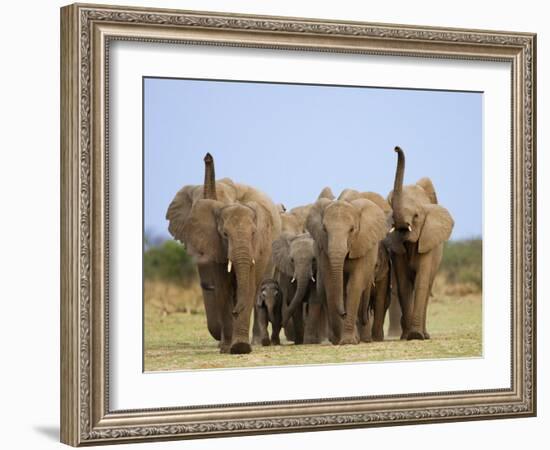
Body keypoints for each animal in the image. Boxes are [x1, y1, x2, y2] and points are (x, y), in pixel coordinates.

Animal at [166, 153, 282, 354]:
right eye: (224, 234)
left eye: (253, 233)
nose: (207, 157)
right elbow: (221, 289)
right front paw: (228, 347)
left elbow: (247, 287)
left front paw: (241, 347)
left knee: (257, 288)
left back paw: (257, 341)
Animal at [306, 193, 388, 344]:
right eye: (324, 230)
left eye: (352, 230)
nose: (343, 313)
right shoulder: (324, 250)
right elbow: (331, 286)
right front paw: (344, 340)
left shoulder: (360, 245)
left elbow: (354, 286)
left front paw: (348, 341)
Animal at [386, 146, 454, 340]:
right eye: (390, 209)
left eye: (416, 216)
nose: (395, 148)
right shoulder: (397, 248)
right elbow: (403, 284)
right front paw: (408, 336)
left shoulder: (427, 241)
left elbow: (421, 281)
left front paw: (416, 335)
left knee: (427, 284)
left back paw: (425, 334)